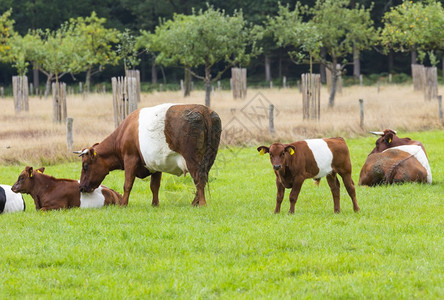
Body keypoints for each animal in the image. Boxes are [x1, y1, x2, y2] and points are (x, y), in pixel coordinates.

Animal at [76, 103, 224, 206]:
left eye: (85, 166)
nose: (81, 187)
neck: (124, 132)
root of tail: (203, 110)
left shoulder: (130, 159)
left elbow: (127, 184)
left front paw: (123, 204)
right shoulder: (156, 164)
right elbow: (154, 186)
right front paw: (155, 204)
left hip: (192, 159)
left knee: (199, 179)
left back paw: (202, 204)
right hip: (209, 158)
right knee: (204, 178)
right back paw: (194, 202)